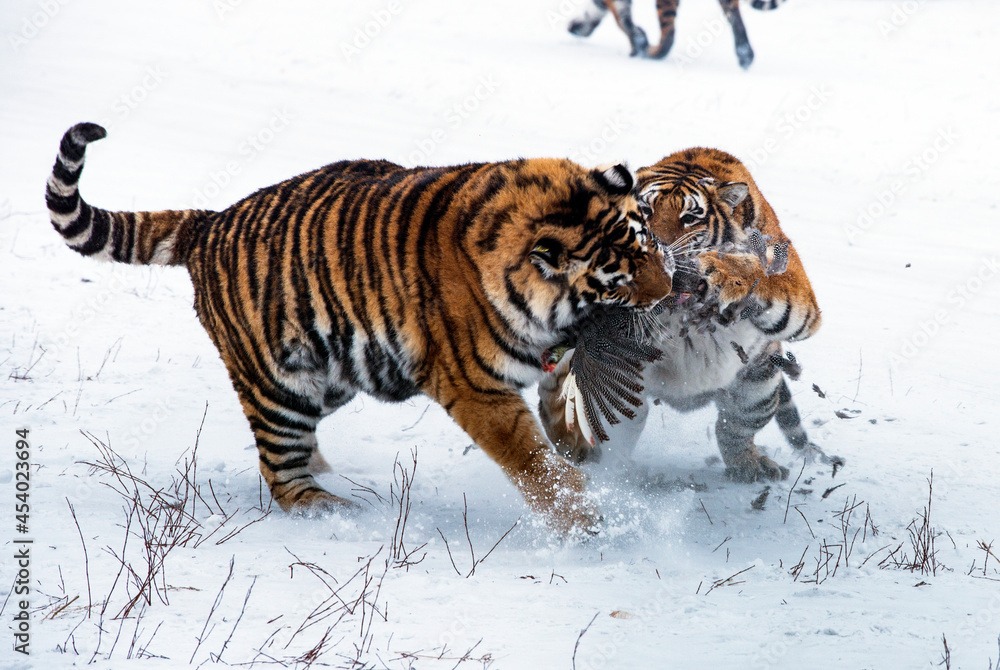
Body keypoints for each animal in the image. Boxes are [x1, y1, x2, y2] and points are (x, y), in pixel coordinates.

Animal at [45, 122, 676, 535]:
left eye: (647, 243)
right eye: (617, 282)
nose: (670, 291)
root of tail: (211, 223)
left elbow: (561, 403)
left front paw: (581, 448)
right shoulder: (476, 388)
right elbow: (532, 462)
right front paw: (586, 521)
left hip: (333, 377)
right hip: (280, 385)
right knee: (279, 465)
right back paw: (325, 505)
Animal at [539, 147, 828, 483]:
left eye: (689, 218)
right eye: (645, 210)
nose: (657, 250)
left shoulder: (800, 296)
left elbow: (765, 276)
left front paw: (727, 273)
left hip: (759, 382)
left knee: (735, 430)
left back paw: (751, 466)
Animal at [568, 0, 786, 69]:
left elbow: (622, 18)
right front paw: (578, 27)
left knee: (668, 35)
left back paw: (649, 51)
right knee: (734, 14)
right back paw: (745, 55)